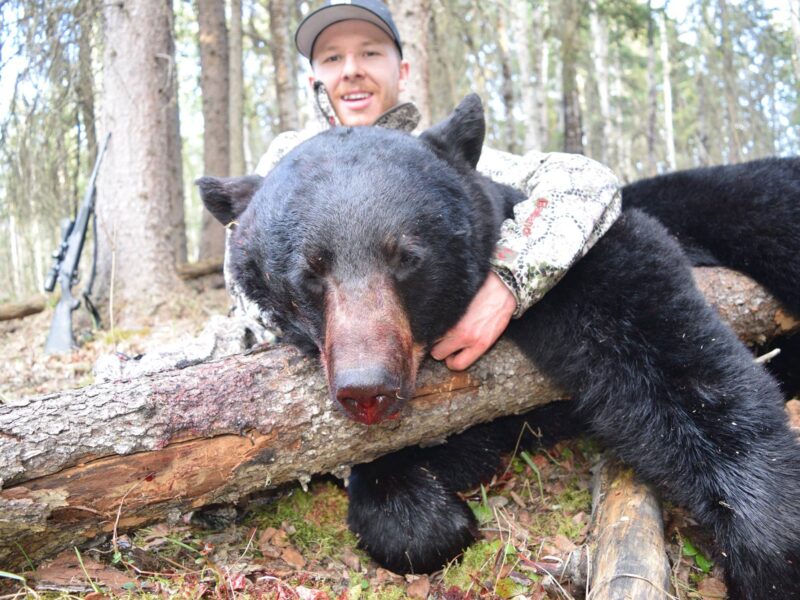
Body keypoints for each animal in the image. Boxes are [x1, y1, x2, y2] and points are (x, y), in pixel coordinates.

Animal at [195, 96, 800, 596]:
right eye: (309, 273)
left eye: (406, 257)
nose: (367, 389)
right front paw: (426, 512)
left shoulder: (581, 263)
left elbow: (658, 337)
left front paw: (770, 540)